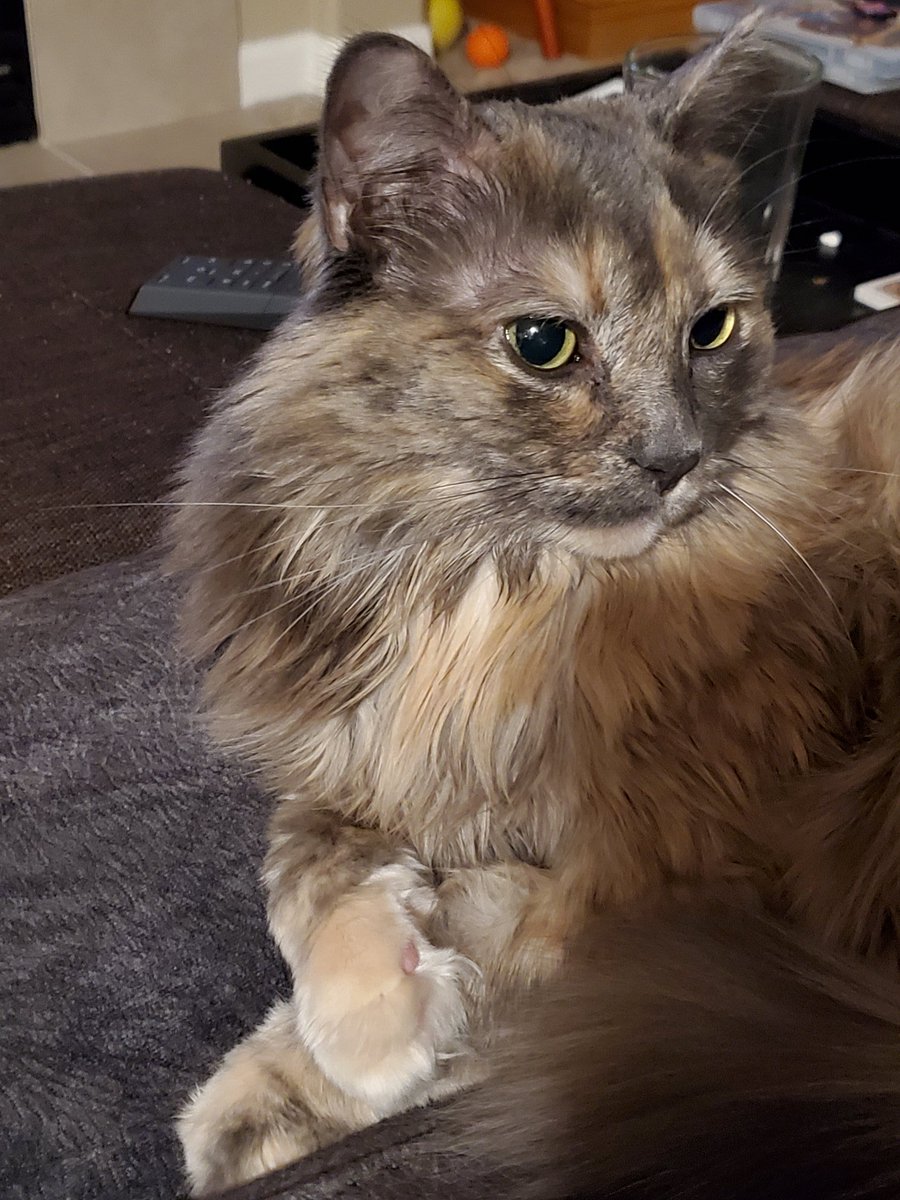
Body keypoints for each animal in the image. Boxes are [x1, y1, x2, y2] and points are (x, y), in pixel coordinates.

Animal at [168, 18, 900, 1197]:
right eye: (544, 343)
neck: (495, 593)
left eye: (712, 329)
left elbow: (517, 978)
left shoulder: (677, 868)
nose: (675, 461)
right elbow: (302, 874)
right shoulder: (351, 751)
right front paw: (358, 1013)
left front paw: (328, 1065)